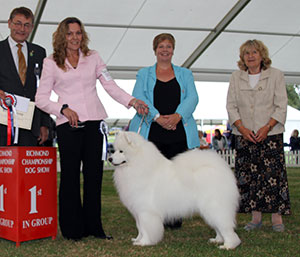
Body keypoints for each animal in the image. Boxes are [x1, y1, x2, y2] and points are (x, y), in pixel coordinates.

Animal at [109, 132, 240, 248]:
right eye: (114, 150)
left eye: (121, 151)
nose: (109, 159)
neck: (137, 165)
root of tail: (220, 169)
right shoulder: (138, 211)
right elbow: (140, 228)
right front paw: (137, 240)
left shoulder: (146, 211)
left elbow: (146, 229)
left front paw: (144, 242)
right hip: (209, 211)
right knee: (219, 227)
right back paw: (217, 240)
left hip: (214, 207)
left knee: (226, 227)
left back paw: (229, 245)